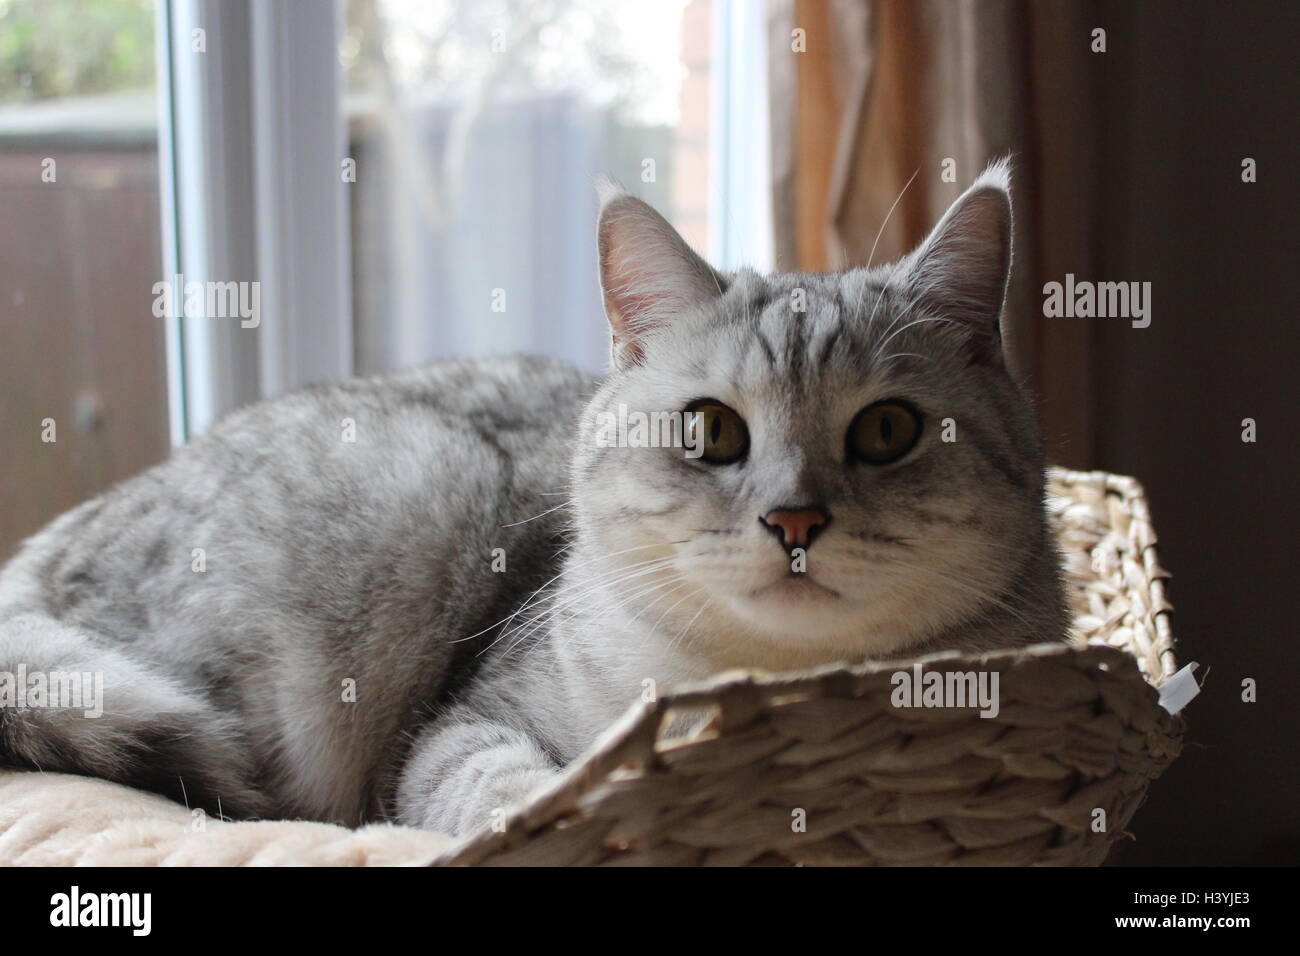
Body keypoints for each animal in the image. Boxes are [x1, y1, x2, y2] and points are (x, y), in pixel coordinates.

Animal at [0, 164, 1066, 837]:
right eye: (711, 432)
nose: (794, 519)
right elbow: (496, 781)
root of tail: (37, 561)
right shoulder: (465, 722)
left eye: (886, 431)